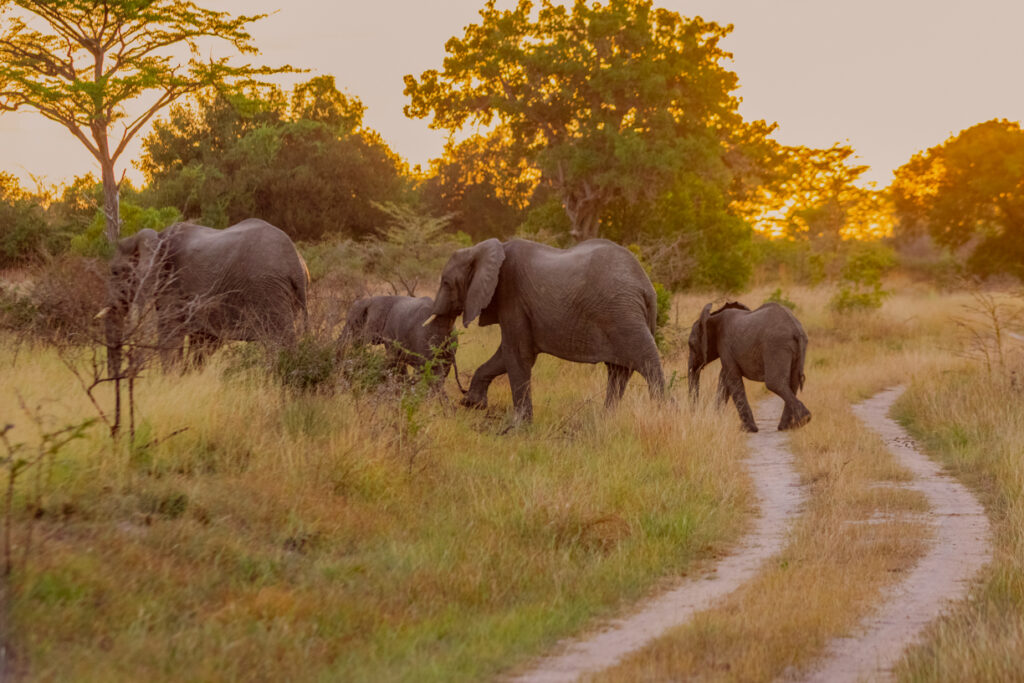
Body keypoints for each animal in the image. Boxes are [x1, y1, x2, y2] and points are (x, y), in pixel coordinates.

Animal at [100, 219, 309, 376]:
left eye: (115, 272)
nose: (114, 380)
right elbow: (204, 342)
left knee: (279, 342)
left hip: (267, 290)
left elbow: (170, 335)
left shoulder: (172, 283)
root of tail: (297, 264)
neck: (156, 237)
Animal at [425, 239, 659, 421]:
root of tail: (647, 287)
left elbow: (516, 354)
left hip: (623, 315)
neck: (483, 249)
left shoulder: (511, 295)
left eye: (445, 283)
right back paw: (605, 421)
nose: (461, 394)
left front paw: (520, 426)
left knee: (648, 364)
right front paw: (473, 404)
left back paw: (662, 414)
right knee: (619, 372)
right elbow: (504, 356)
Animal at [688, 301, 806, 430]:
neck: (712, 317)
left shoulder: (725, 345)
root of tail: (796, 329)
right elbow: (724, 380)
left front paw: (748, 429)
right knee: (793, 383)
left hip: (776, 346)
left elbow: (732, 380)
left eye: (690, 345)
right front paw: (716, 419)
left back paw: (803, 419)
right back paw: (786, 426)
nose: (694, 413)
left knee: (774, 383)